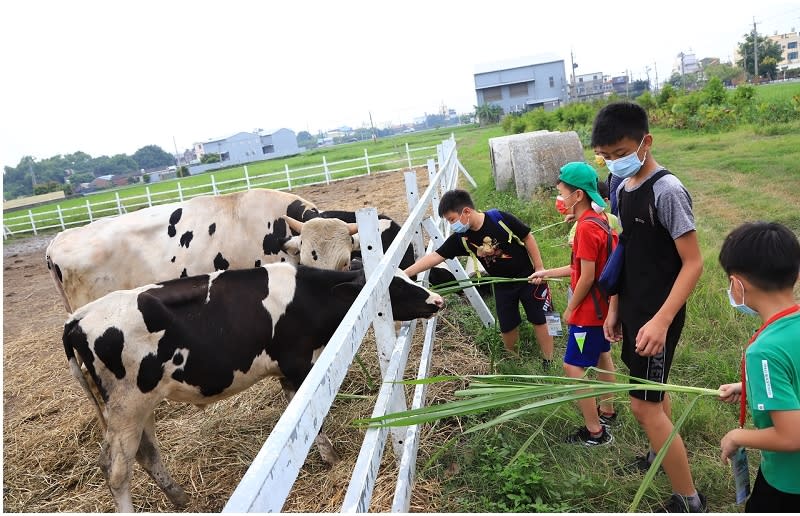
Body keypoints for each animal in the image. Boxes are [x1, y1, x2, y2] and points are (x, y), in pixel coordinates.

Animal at [62, 262, 444, 512]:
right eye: (396, 286)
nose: (437, 300)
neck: (307, 297)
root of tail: (78, 318)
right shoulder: (297, 364)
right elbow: (312, 415)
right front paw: (331, 457)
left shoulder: (287, 370)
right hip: (127, 405)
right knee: (116, 469)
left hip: (139, 405)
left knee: (144, 453)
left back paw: (181, 498)